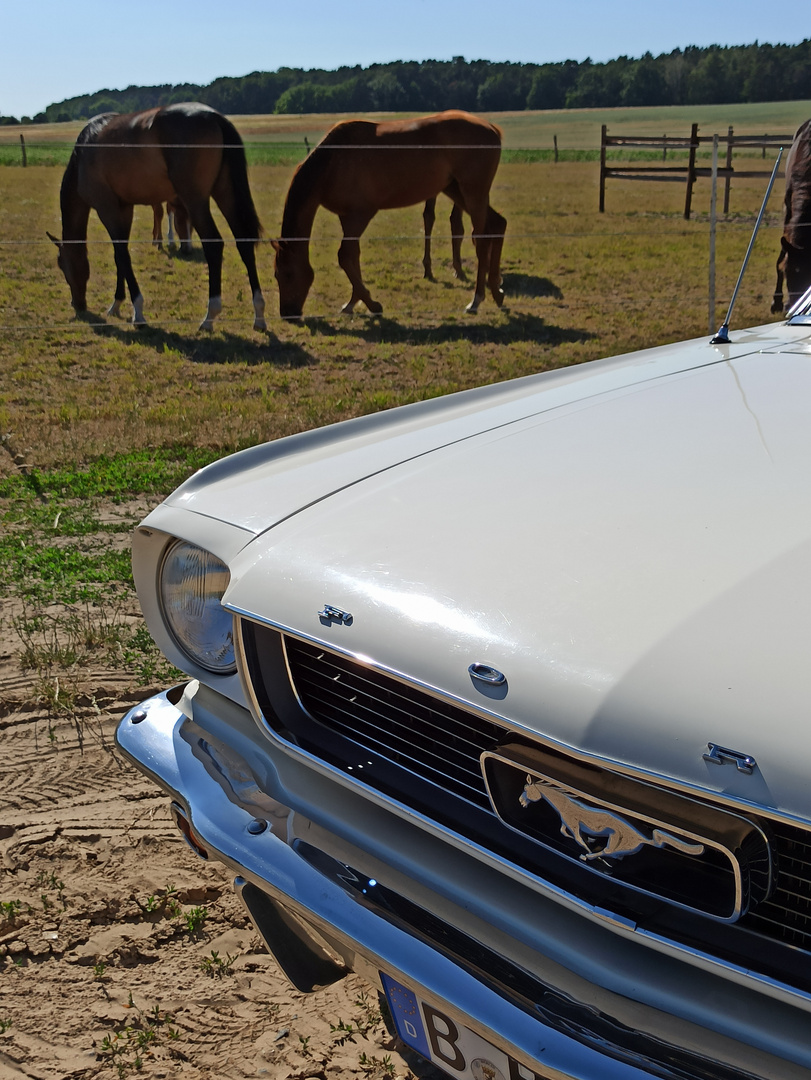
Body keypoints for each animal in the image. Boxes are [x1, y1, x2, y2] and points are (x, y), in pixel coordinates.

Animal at [49, 104, 266, 328]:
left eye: (61, 264)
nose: (77, 304)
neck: (83, 152)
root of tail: (214, 117)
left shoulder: (106, 209)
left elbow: (122, 255)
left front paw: (138, 312)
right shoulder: (125, 209)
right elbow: (120, 255)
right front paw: (117, 303)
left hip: (195, 201)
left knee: (214, 245)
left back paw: (209, 316)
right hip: (225, 193)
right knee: (244, 244)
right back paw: (259, 314)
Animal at [276, 112, 505, 317]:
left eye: (287, 274)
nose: (287, 313)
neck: (332, 162)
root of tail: (492, 128)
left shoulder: (360, 216)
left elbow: (345, 256)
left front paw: (371, 304)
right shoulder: (347, 218)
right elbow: (353, 256)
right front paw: (353, 302)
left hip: (472, 193)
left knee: (482, 239)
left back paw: (476, 299)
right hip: (457, 190)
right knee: (497, 224)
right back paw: (497, 291)